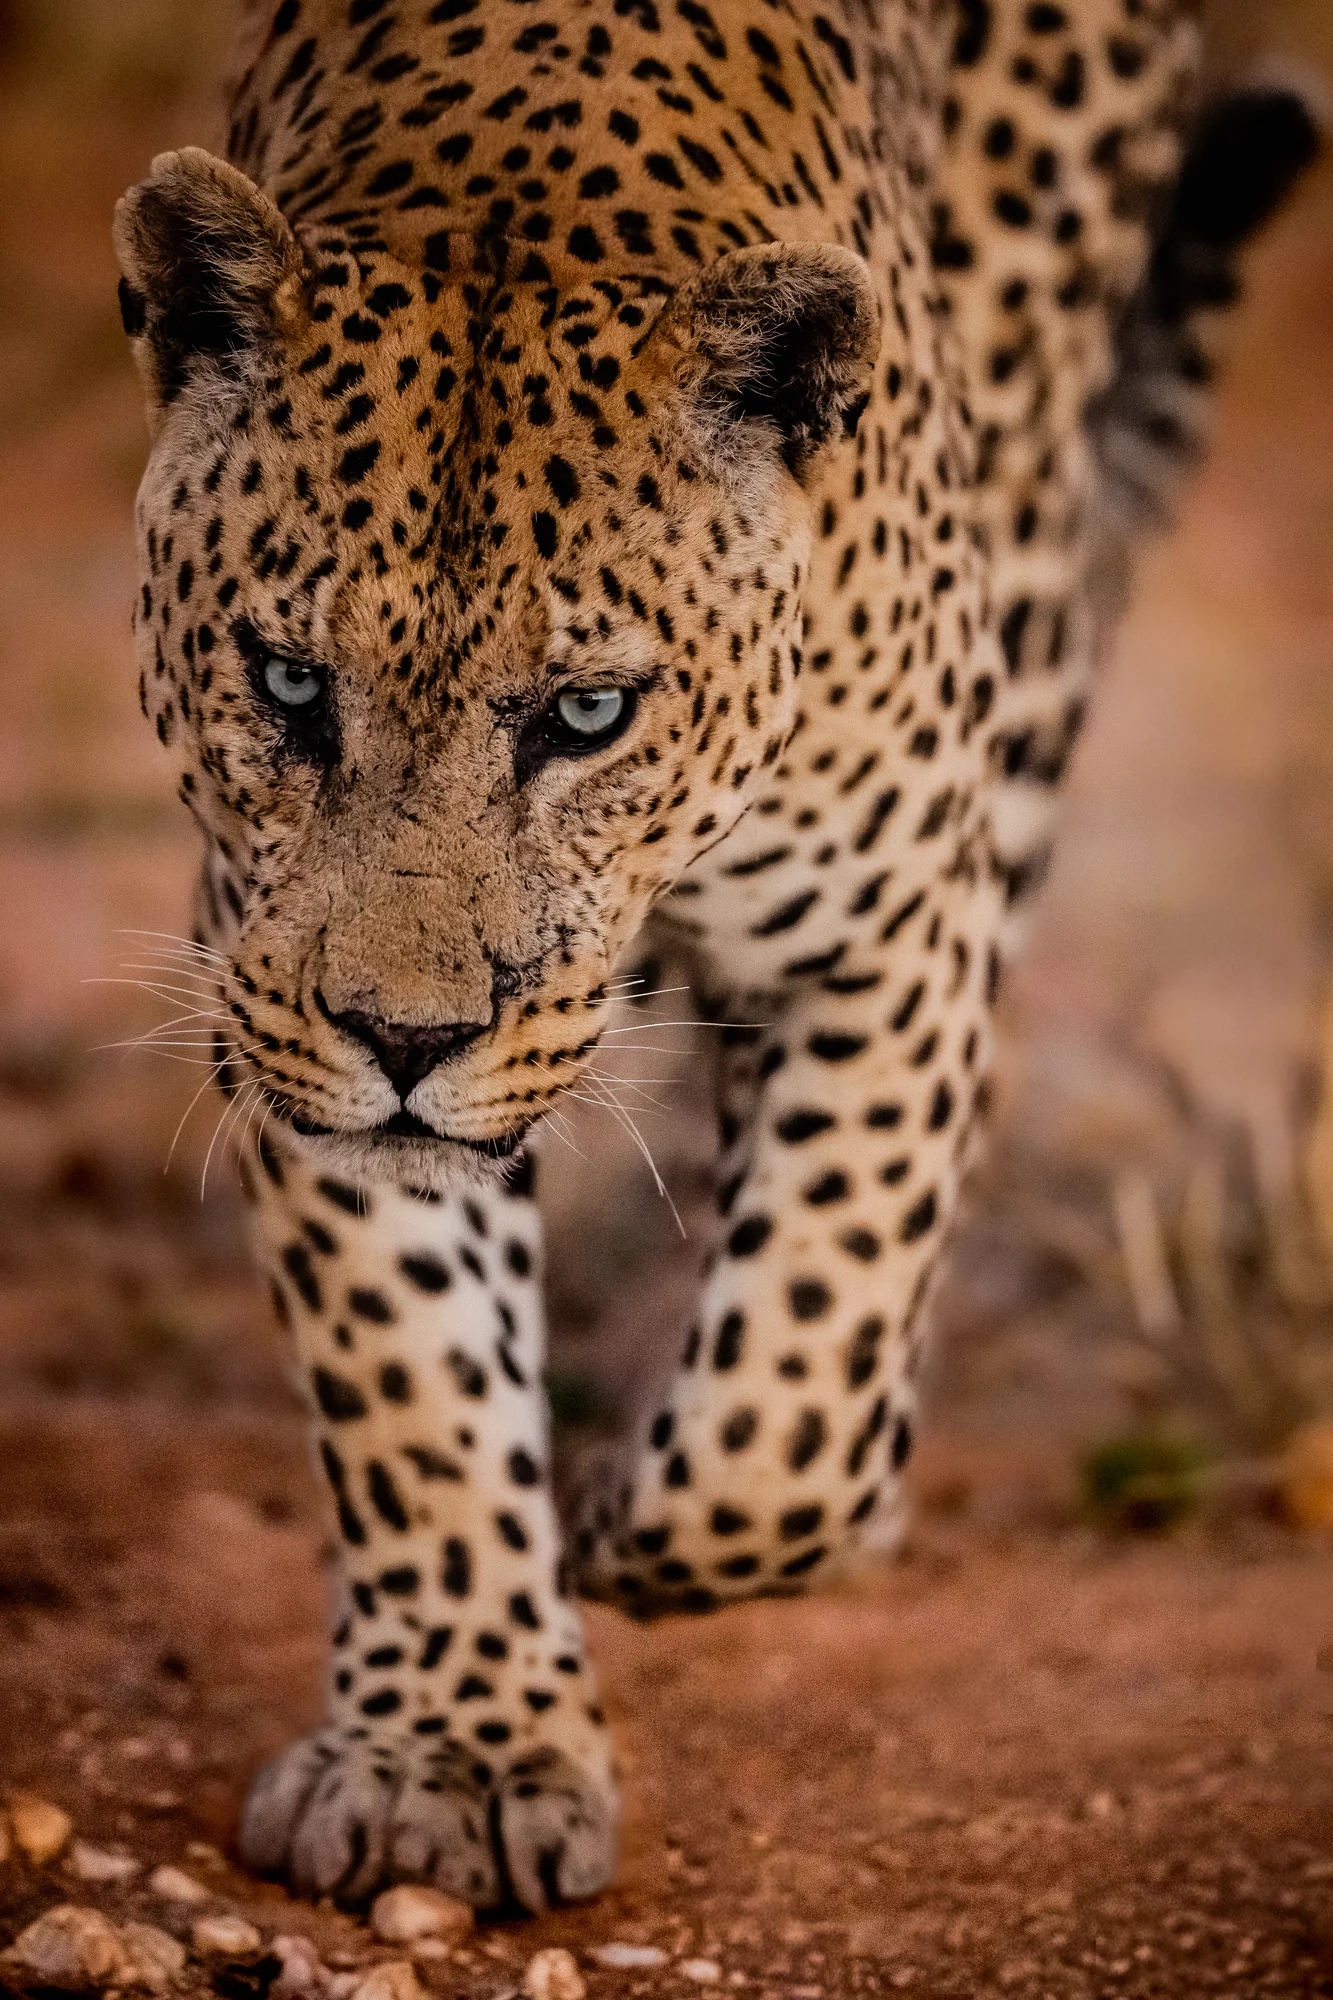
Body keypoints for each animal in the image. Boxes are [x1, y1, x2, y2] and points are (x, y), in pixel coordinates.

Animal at [112, 0, 1318, 1914]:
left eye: (589, 714)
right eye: (289, 685)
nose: (406, 1041)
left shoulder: (893, 935)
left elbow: (792, 1400)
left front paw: (630, 1520)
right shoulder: (272, 982)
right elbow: (412, 1384)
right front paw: (456, 1747)